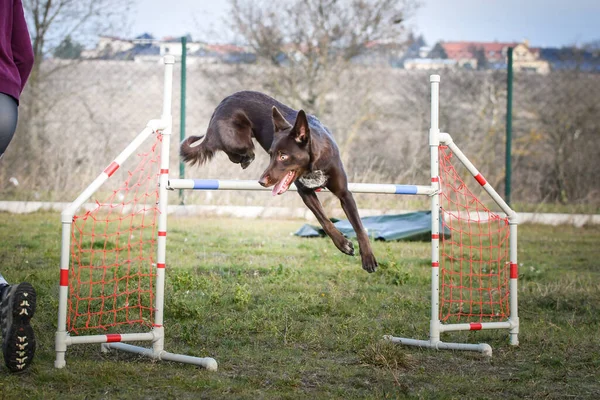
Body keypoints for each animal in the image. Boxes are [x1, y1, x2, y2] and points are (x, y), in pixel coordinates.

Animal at [180, 91, 378, 272]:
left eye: (283, 156)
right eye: (271, 154)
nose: (261, 181)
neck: (313, 164)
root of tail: (221, 104)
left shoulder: (344, 194)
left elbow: (359, 227)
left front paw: (368, 258)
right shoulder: (306, 193)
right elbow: (324, 221)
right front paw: (343, 243)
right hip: (239, 141)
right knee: (234, 151)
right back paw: (245, 159)